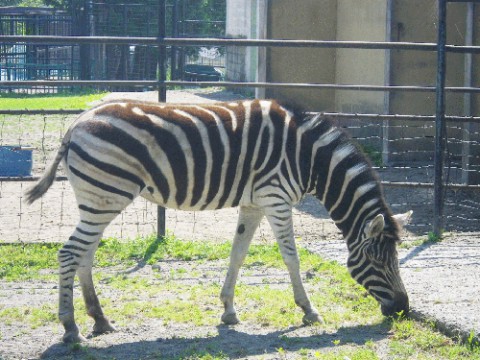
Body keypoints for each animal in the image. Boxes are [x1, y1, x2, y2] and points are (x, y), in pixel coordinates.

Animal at [25, 98, 412, 344]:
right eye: (378, 260)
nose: (403, 310)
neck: (308, 157)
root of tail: (76, 123)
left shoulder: (254, 203)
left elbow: (238, 254)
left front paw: (228, 311)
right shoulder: (276, 198)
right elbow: (292, 258)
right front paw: (309, 311)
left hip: (97, 198)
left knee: (84, 255)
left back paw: (100, 320)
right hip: (106, 195)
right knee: (69, 254)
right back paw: (70, 326)